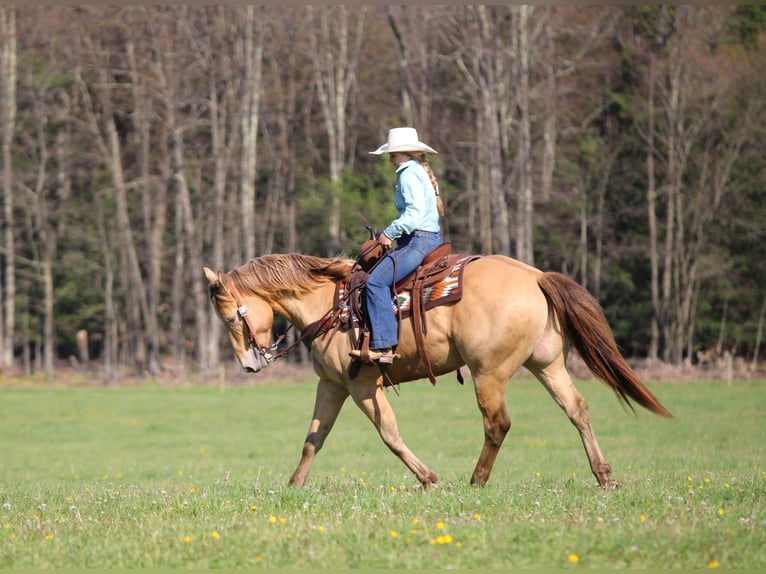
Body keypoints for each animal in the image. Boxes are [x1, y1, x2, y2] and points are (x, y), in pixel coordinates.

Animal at [203, 252, 671, 489]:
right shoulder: (332, 385)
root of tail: (536, 276)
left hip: (489, 374)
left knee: (497, 423)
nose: (249, 365)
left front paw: (428, 479)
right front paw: (293, 486)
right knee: (577, 409)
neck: (329, 305)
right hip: (547, 365)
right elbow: (313, 438)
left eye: (229, 318)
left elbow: (389, 434)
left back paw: (476, 481)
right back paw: (604, 476)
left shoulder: (363, 385)